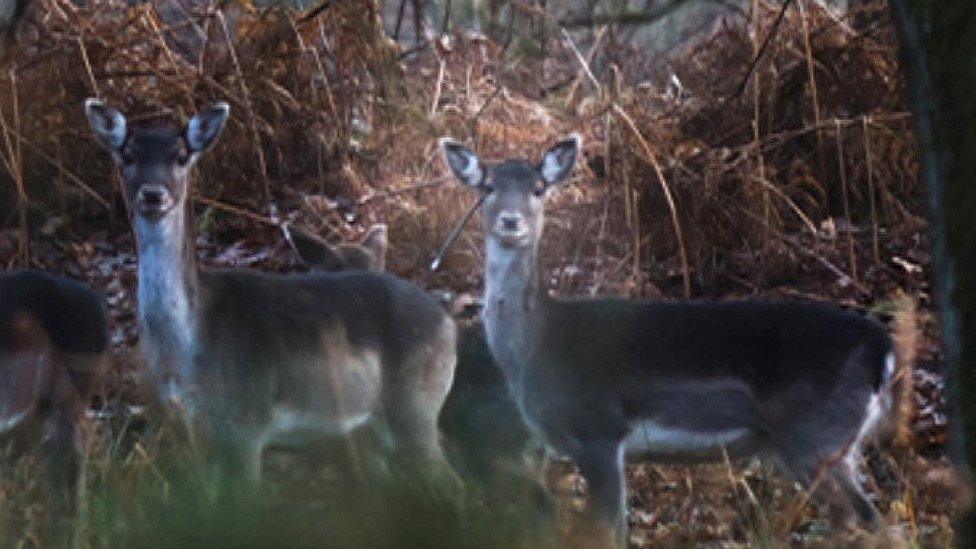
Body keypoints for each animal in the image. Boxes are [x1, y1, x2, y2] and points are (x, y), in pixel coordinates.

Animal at [85, 97, 462, 492]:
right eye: (127, 154)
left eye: (181, 155)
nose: (153, 194)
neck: (189, 349)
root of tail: (449, 324)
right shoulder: (191, 431)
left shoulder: (247, 422)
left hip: (415, 405)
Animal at [442, 136, 900, 544]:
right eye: (487, 187)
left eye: (538, 188)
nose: (511, 221)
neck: (534, 347)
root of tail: (883, 348)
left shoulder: (598, 430)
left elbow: (608, 532)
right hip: (829, 445)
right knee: (871, 518)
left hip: (815, 434)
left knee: (855, 518)